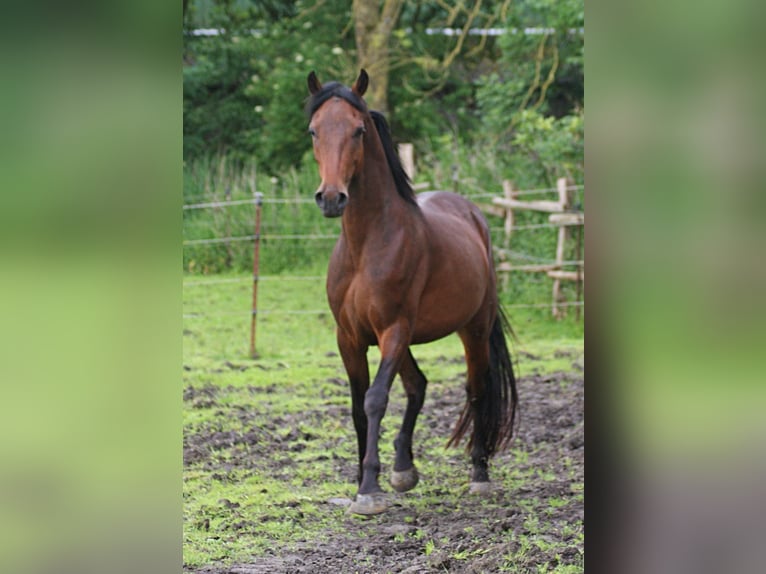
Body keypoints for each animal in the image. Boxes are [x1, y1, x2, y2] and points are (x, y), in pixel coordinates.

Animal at [304, 68, 516, 516]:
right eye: (314, 130)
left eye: (358, 130)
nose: (331, 198)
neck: (367, 244)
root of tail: (474, 216)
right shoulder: (349, 338)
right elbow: (358, 406)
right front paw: (362, 481)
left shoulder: (394, 329)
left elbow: (375, 399)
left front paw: (369, 488)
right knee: (418, 384)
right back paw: (404, 469)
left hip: (471, 329)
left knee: (476, 391)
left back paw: (479, 473)